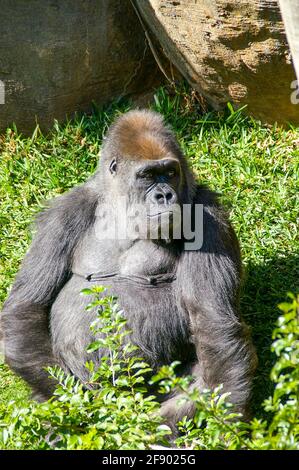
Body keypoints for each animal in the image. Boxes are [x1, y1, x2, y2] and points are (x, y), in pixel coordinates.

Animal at [1, 110, 256, 426]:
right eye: (147, 176)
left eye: (170, 172)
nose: (164, 196)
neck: (122, 209)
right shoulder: (65, 212)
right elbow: (26, 308)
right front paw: (80, 410)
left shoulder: (208, 214)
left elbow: (212, 321)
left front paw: (230, 422)